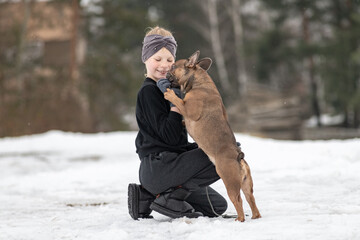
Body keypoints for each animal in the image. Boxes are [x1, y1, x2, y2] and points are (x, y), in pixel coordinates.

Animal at [164, 50, 262, 221]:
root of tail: (239, 158)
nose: (166, 72)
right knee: (251, 201)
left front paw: (170, 94)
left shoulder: (190, 110)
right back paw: (254, 217)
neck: (197, 82)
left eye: (173, 66)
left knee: (238, 201)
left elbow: (179, 102)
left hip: (229, 181)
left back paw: (239, 219)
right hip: (246, 186)